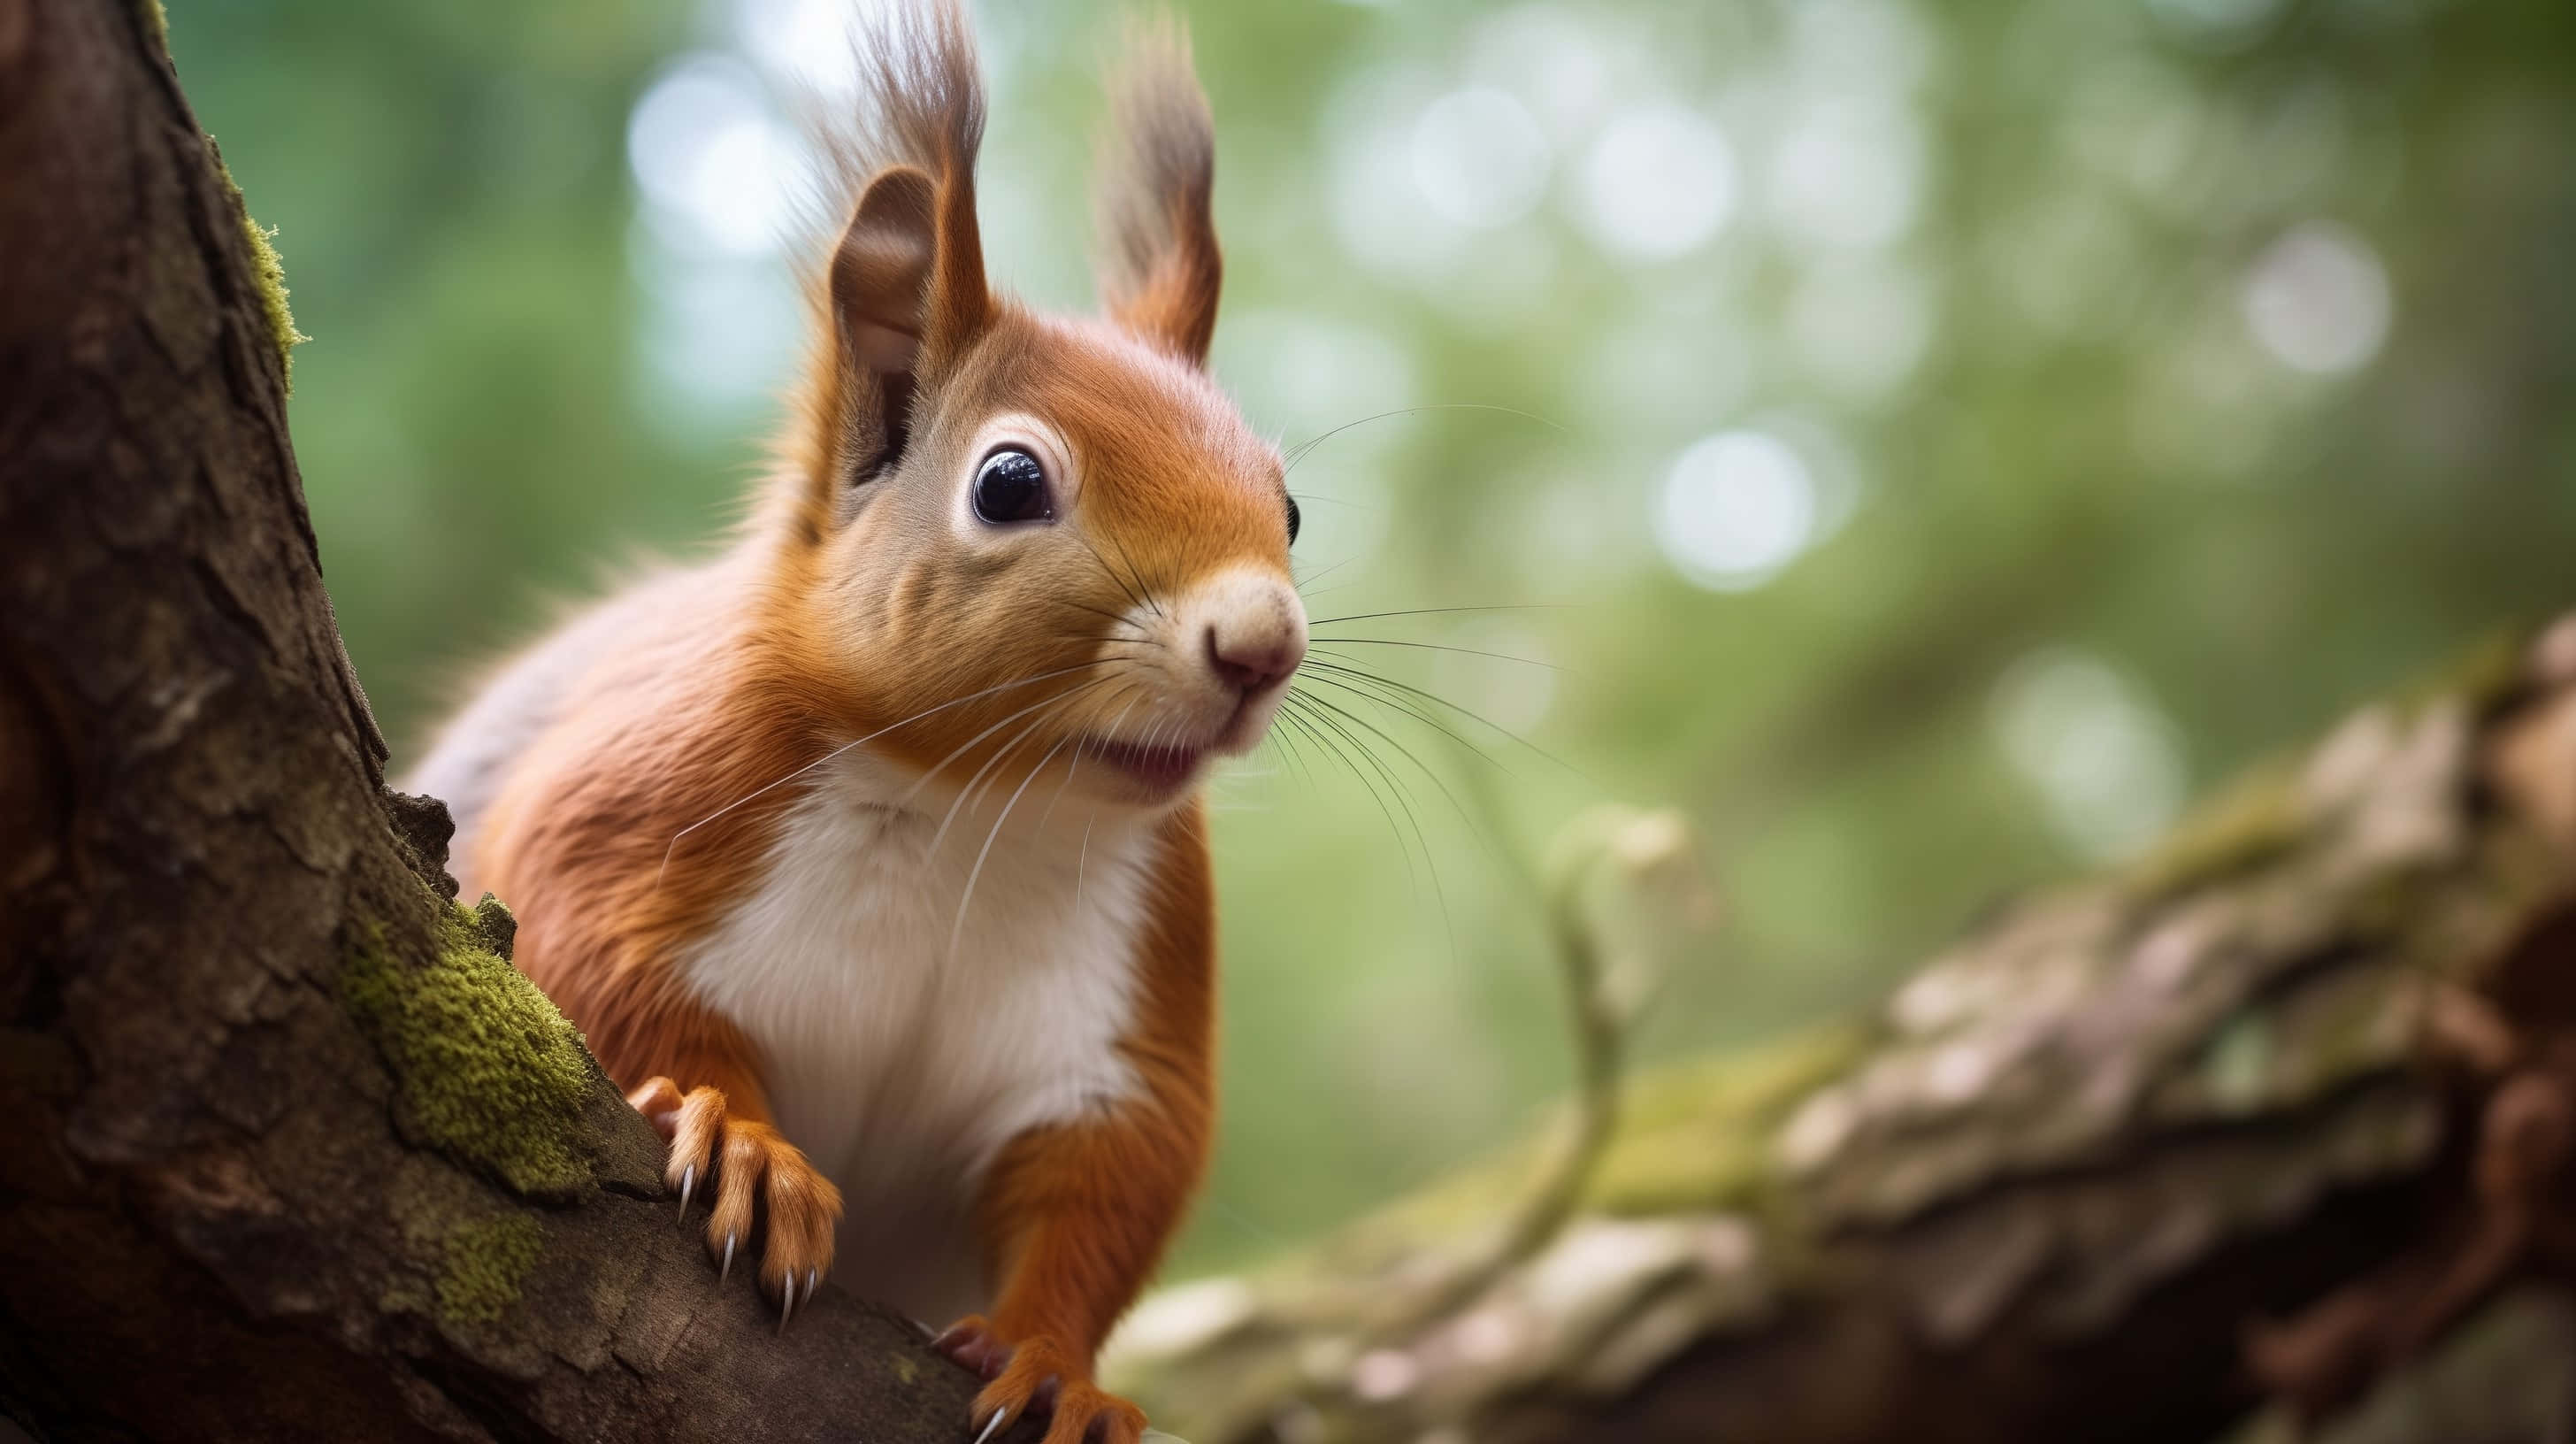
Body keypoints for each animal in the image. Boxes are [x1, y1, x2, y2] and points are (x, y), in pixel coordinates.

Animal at [403, 5, 1305, 1441]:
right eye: (1009, 483)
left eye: (1289, 508)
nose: (1262, 644)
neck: (969, 807)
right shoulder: (639, 805)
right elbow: (594, 968)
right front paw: (745, 1147)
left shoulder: (1128, 990)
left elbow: (1108, 1173)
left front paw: (1057, 1364)